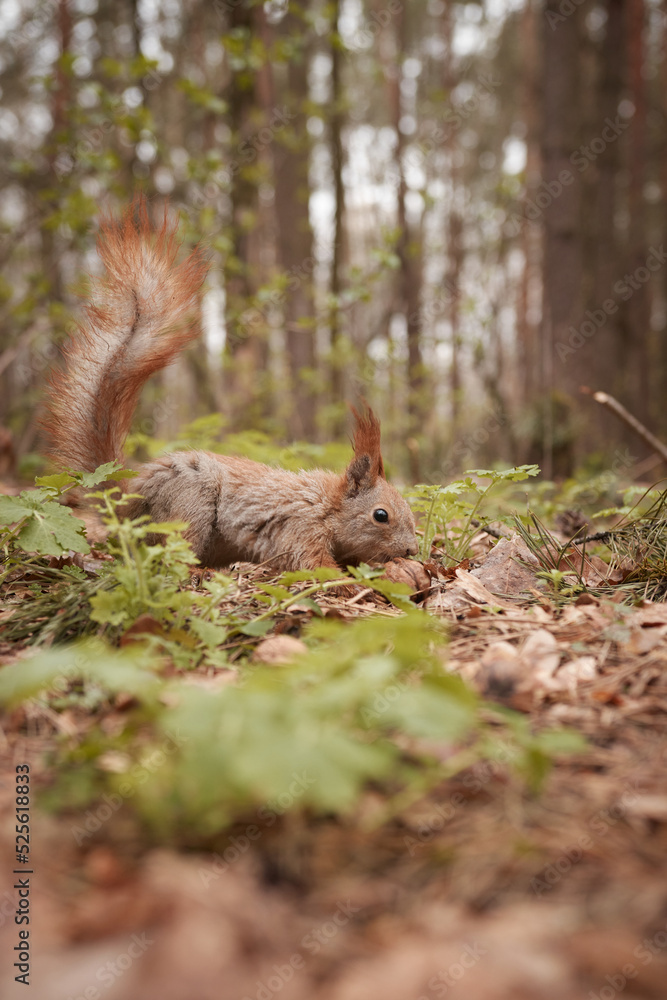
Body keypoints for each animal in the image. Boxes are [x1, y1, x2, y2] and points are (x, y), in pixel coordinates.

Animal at [41, 198, 419, 572]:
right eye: (380, 515)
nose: (413, 550)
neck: (327, 506)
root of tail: (126, 506)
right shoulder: (299, 529)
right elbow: (312, 563)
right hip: (190, 505)